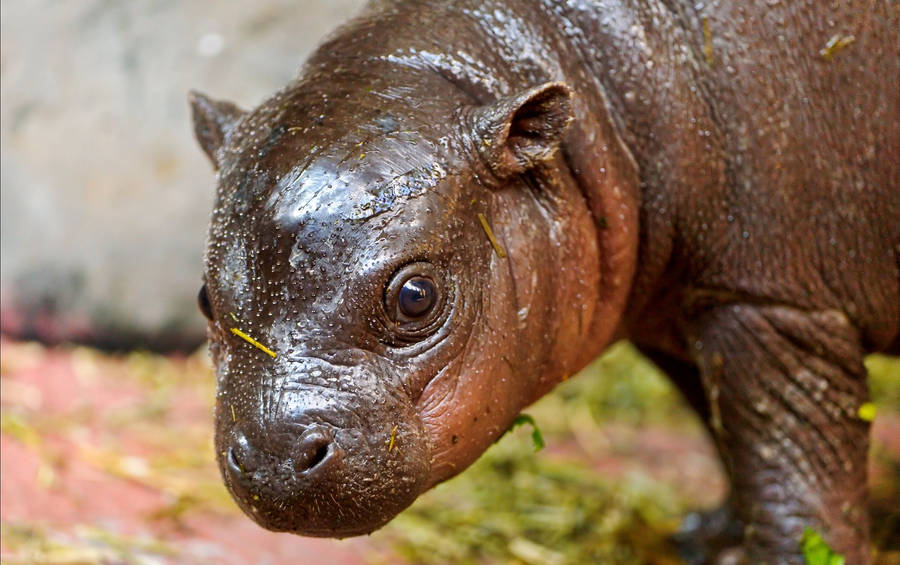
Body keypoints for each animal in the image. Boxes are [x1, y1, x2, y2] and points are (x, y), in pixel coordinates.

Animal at [190, 1, 898, 563]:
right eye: (204, 299)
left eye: (416, 297)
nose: (274, 458)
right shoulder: (677, 310)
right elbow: (725, 430)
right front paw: (708, 538)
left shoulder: (769, 305)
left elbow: (794, 479)